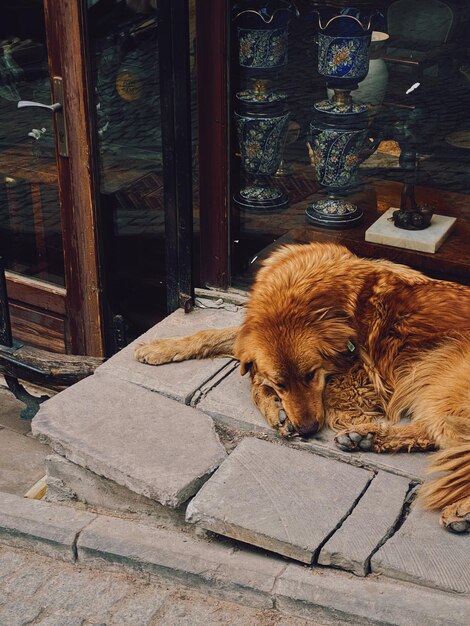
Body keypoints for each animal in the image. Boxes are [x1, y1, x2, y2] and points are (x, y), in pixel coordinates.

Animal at [136, 241, 470, 528]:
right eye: (281, 383)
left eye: (311, 375)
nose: (308, 430)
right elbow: (215, 337)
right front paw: (160, 347)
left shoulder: (368, 373)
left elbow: (256, 380)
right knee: (432, 434)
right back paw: (365, 438)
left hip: (436, 369)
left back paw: (461, 511)